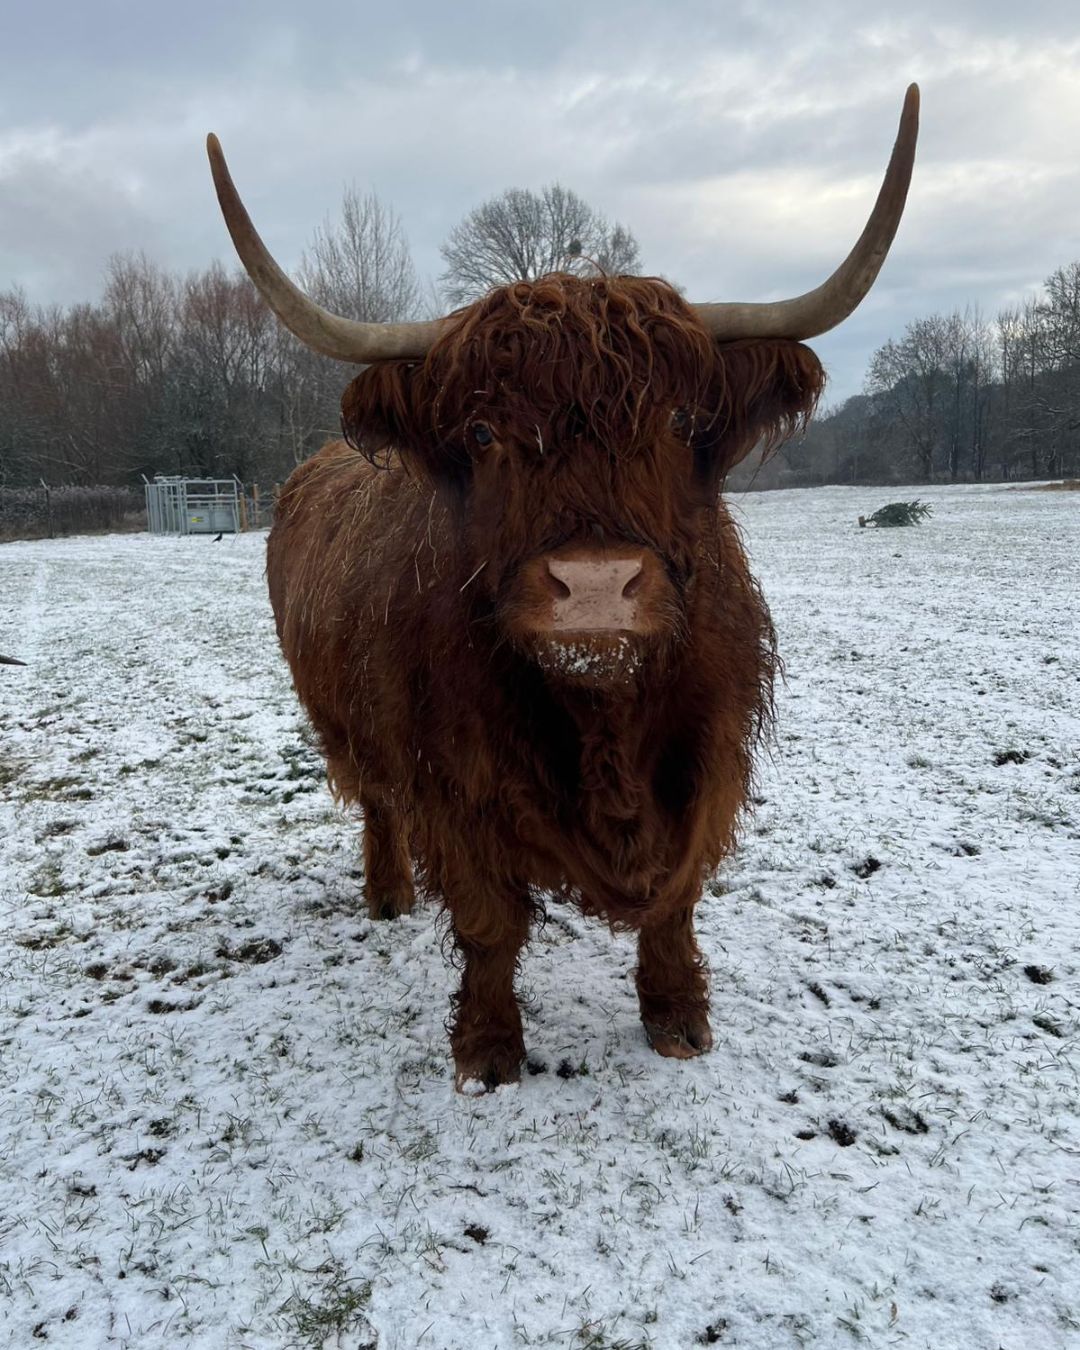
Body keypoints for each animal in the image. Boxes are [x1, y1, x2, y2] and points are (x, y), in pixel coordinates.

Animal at [207, 86, 918, 1090]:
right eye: (481, 432)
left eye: (681, 419)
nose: (594, 584)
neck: (602, 722)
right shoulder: (454, 780)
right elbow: (488, 923)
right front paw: (488, 1052)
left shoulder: (707, 760)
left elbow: (675, 903)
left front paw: (678, 1019)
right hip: (344, 721)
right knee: (375, 800)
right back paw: (387, 895)